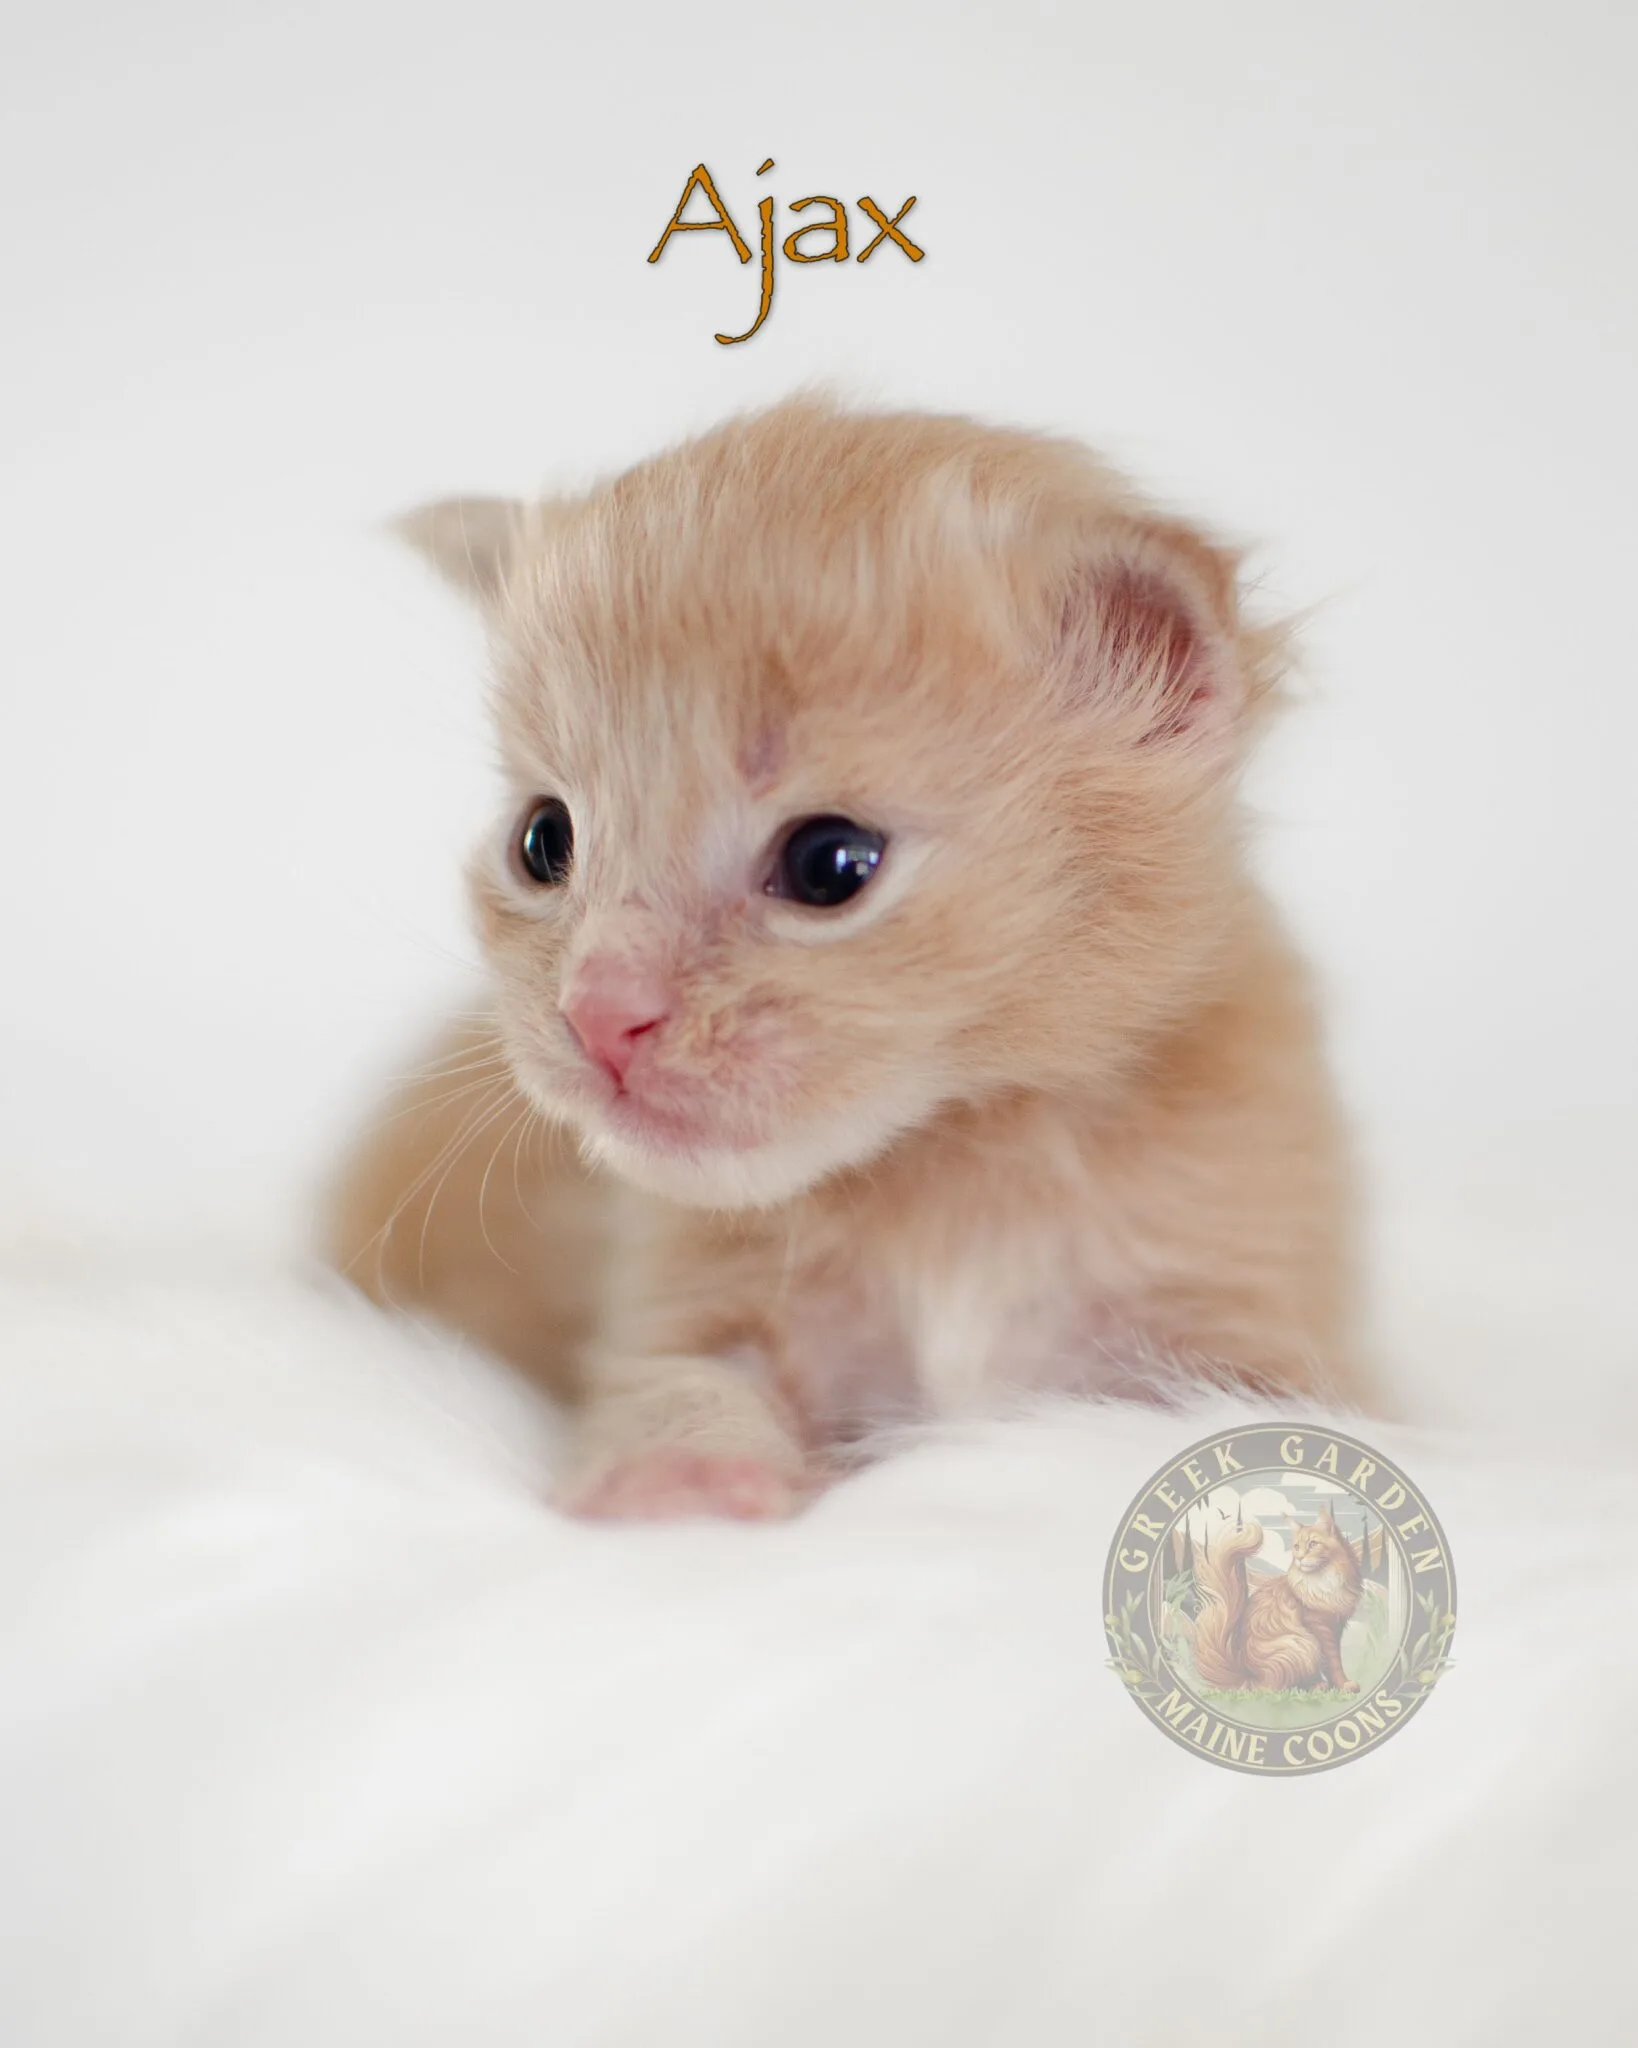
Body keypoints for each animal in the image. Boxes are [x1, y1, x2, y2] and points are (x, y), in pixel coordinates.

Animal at [319, 399, 1359, 1523]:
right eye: (543, 840)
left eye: (831, 863)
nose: (599, 1012)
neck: (953, 1169)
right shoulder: (686, 1305)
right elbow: (683, 1382)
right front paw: (681, 1478)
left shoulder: (1247, 1339)